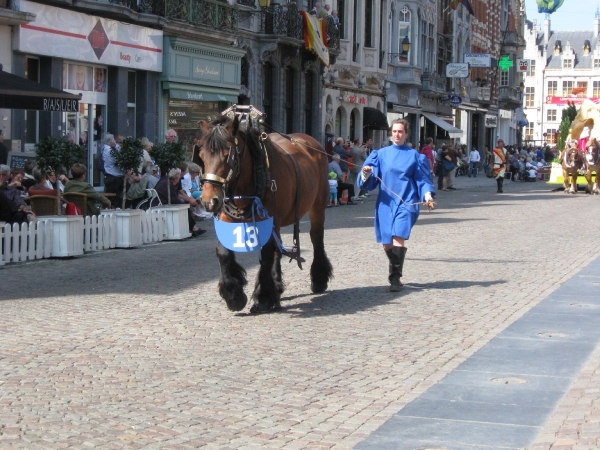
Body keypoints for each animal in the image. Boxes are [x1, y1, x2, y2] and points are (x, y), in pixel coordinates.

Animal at [196, 116, 332, 312]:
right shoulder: (228, 219)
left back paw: (319, 279)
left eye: (228, 154)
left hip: (317, 205)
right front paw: (234, 295)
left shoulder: (270, 219)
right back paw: (277, 286)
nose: (209, 201)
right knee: (279, 247)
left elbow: (266, 254)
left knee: (316, 237)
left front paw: (263, 297)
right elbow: (223, 252)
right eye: (201, 156)